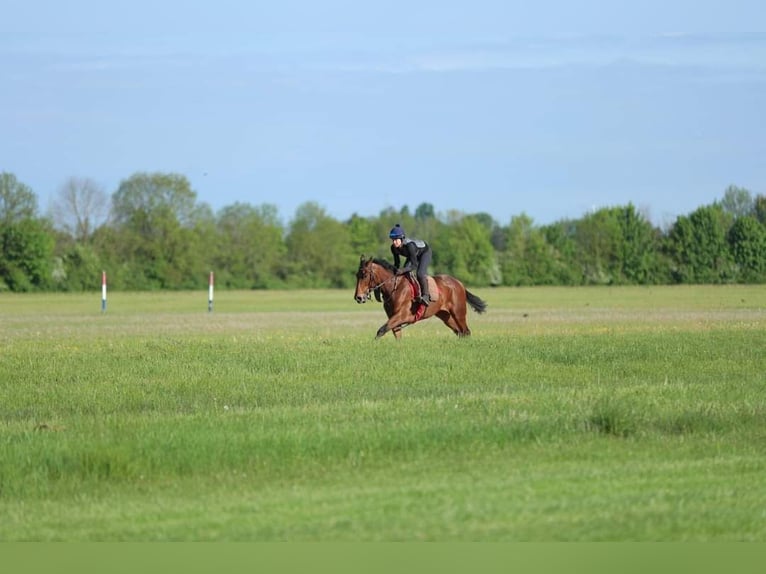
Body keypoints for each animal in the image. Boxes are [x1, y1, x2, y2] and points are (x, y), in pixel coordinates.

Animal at [352, 254, 486, 340]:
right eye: (357, 275)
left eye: (364, 275)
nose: (358, 297)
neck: (394, 288)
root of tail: (459, 283)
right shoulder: (393, 318)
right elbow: (396, 335)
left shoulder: (402, 315)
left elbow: (381, 330)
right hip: (445, 316)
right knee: (460, 332)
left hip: (458, 313)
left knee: (466, 331)